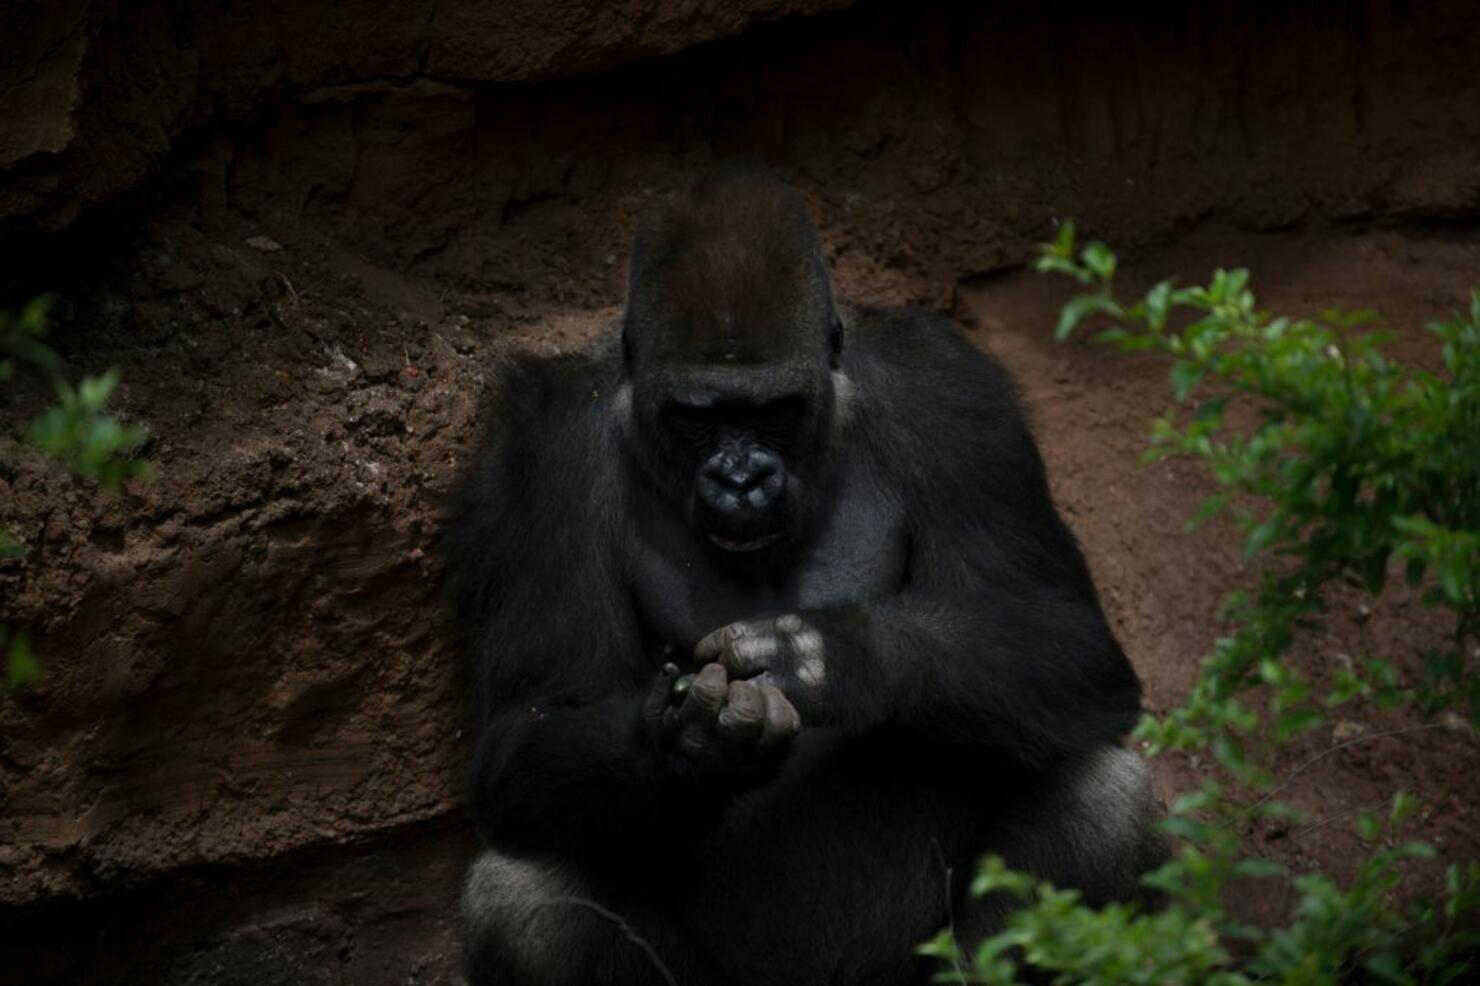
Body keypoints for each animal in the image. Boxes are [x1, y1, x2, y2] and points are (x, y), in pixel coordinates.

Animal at [444, 170, 1160, 983]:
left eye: (775, 411)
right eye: (696, 417)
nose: (741, 479)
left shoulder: (952, 392)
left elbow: (1068, 636)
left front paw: (832, 659)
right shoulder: (541, 449)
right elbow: (526, 726)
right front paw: (691, 746)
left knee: (1102, 799)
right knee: (523, 893)